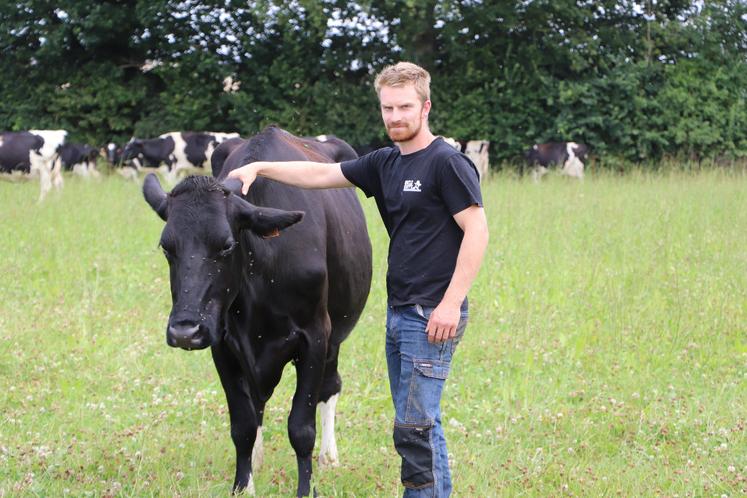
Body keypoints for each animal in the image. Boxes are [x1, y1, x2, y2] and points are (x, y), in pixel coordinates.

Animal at [142, 125, 372, 498]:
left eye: (226, 245)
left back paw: (329, 456)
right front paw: (243, 485)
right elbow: (243, 423)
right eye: (167, 247)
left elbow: (301, 427)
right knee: (258, 403)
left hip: (336, 335)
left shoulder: (315, 337)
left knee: (330, 387)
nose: (184, 331)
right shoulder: (222, 342)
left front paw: (305, 488)